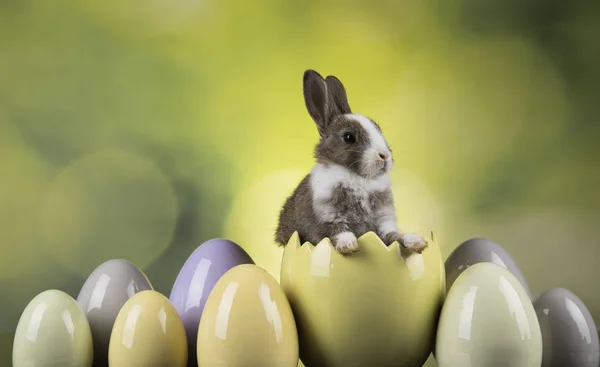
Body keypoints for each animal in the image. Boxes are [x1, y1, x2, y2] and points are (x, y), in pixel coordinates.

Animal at [274, 69, 428, 256]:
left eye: (379, 130)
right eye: (348, 137)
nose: (384, 156)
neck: (359, 178)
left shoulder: (384, 222)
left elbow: (395, 235)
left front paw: (417, 242)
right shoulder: (326, 217)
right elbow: (338, 232)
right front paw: (349, 246)